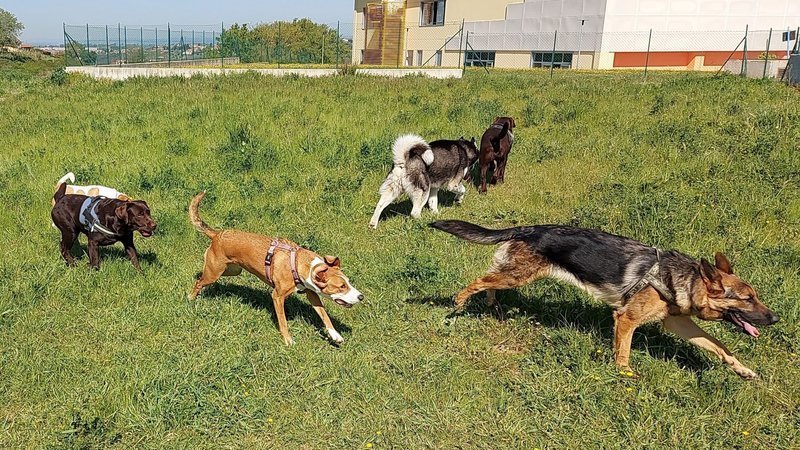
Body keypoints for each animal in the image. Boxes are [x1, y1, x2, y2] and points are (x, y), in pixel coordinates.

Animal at [188, 192, 363, 345]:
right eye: (341, 286)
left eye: (348, 282)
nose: (361, 297)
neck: (298, 263)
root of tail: (218, 234)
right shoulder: (277, 297)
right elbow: (283, 321)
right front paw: (288, 340)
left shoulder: (312, 293)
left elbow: (324, 315)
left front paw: (335, 335)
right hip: (214, 272)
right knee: (199, 281)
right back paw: (191, 298)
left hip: (233, 270)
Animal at [430, 220, 779, 379]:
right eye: (747, 299)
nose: (775, 318)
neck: (681, 279)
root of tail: (528, 228)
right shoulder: (627, 319)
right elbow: (623, 354)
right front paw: (625, 377)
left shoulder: (677, 323)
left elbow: (720, 347)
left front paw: (743, 370)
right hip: (518, 275)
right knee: (479, 280)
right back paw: (458, 303)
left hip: (515, 275)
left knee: (490, 280)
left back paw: (492, 306)